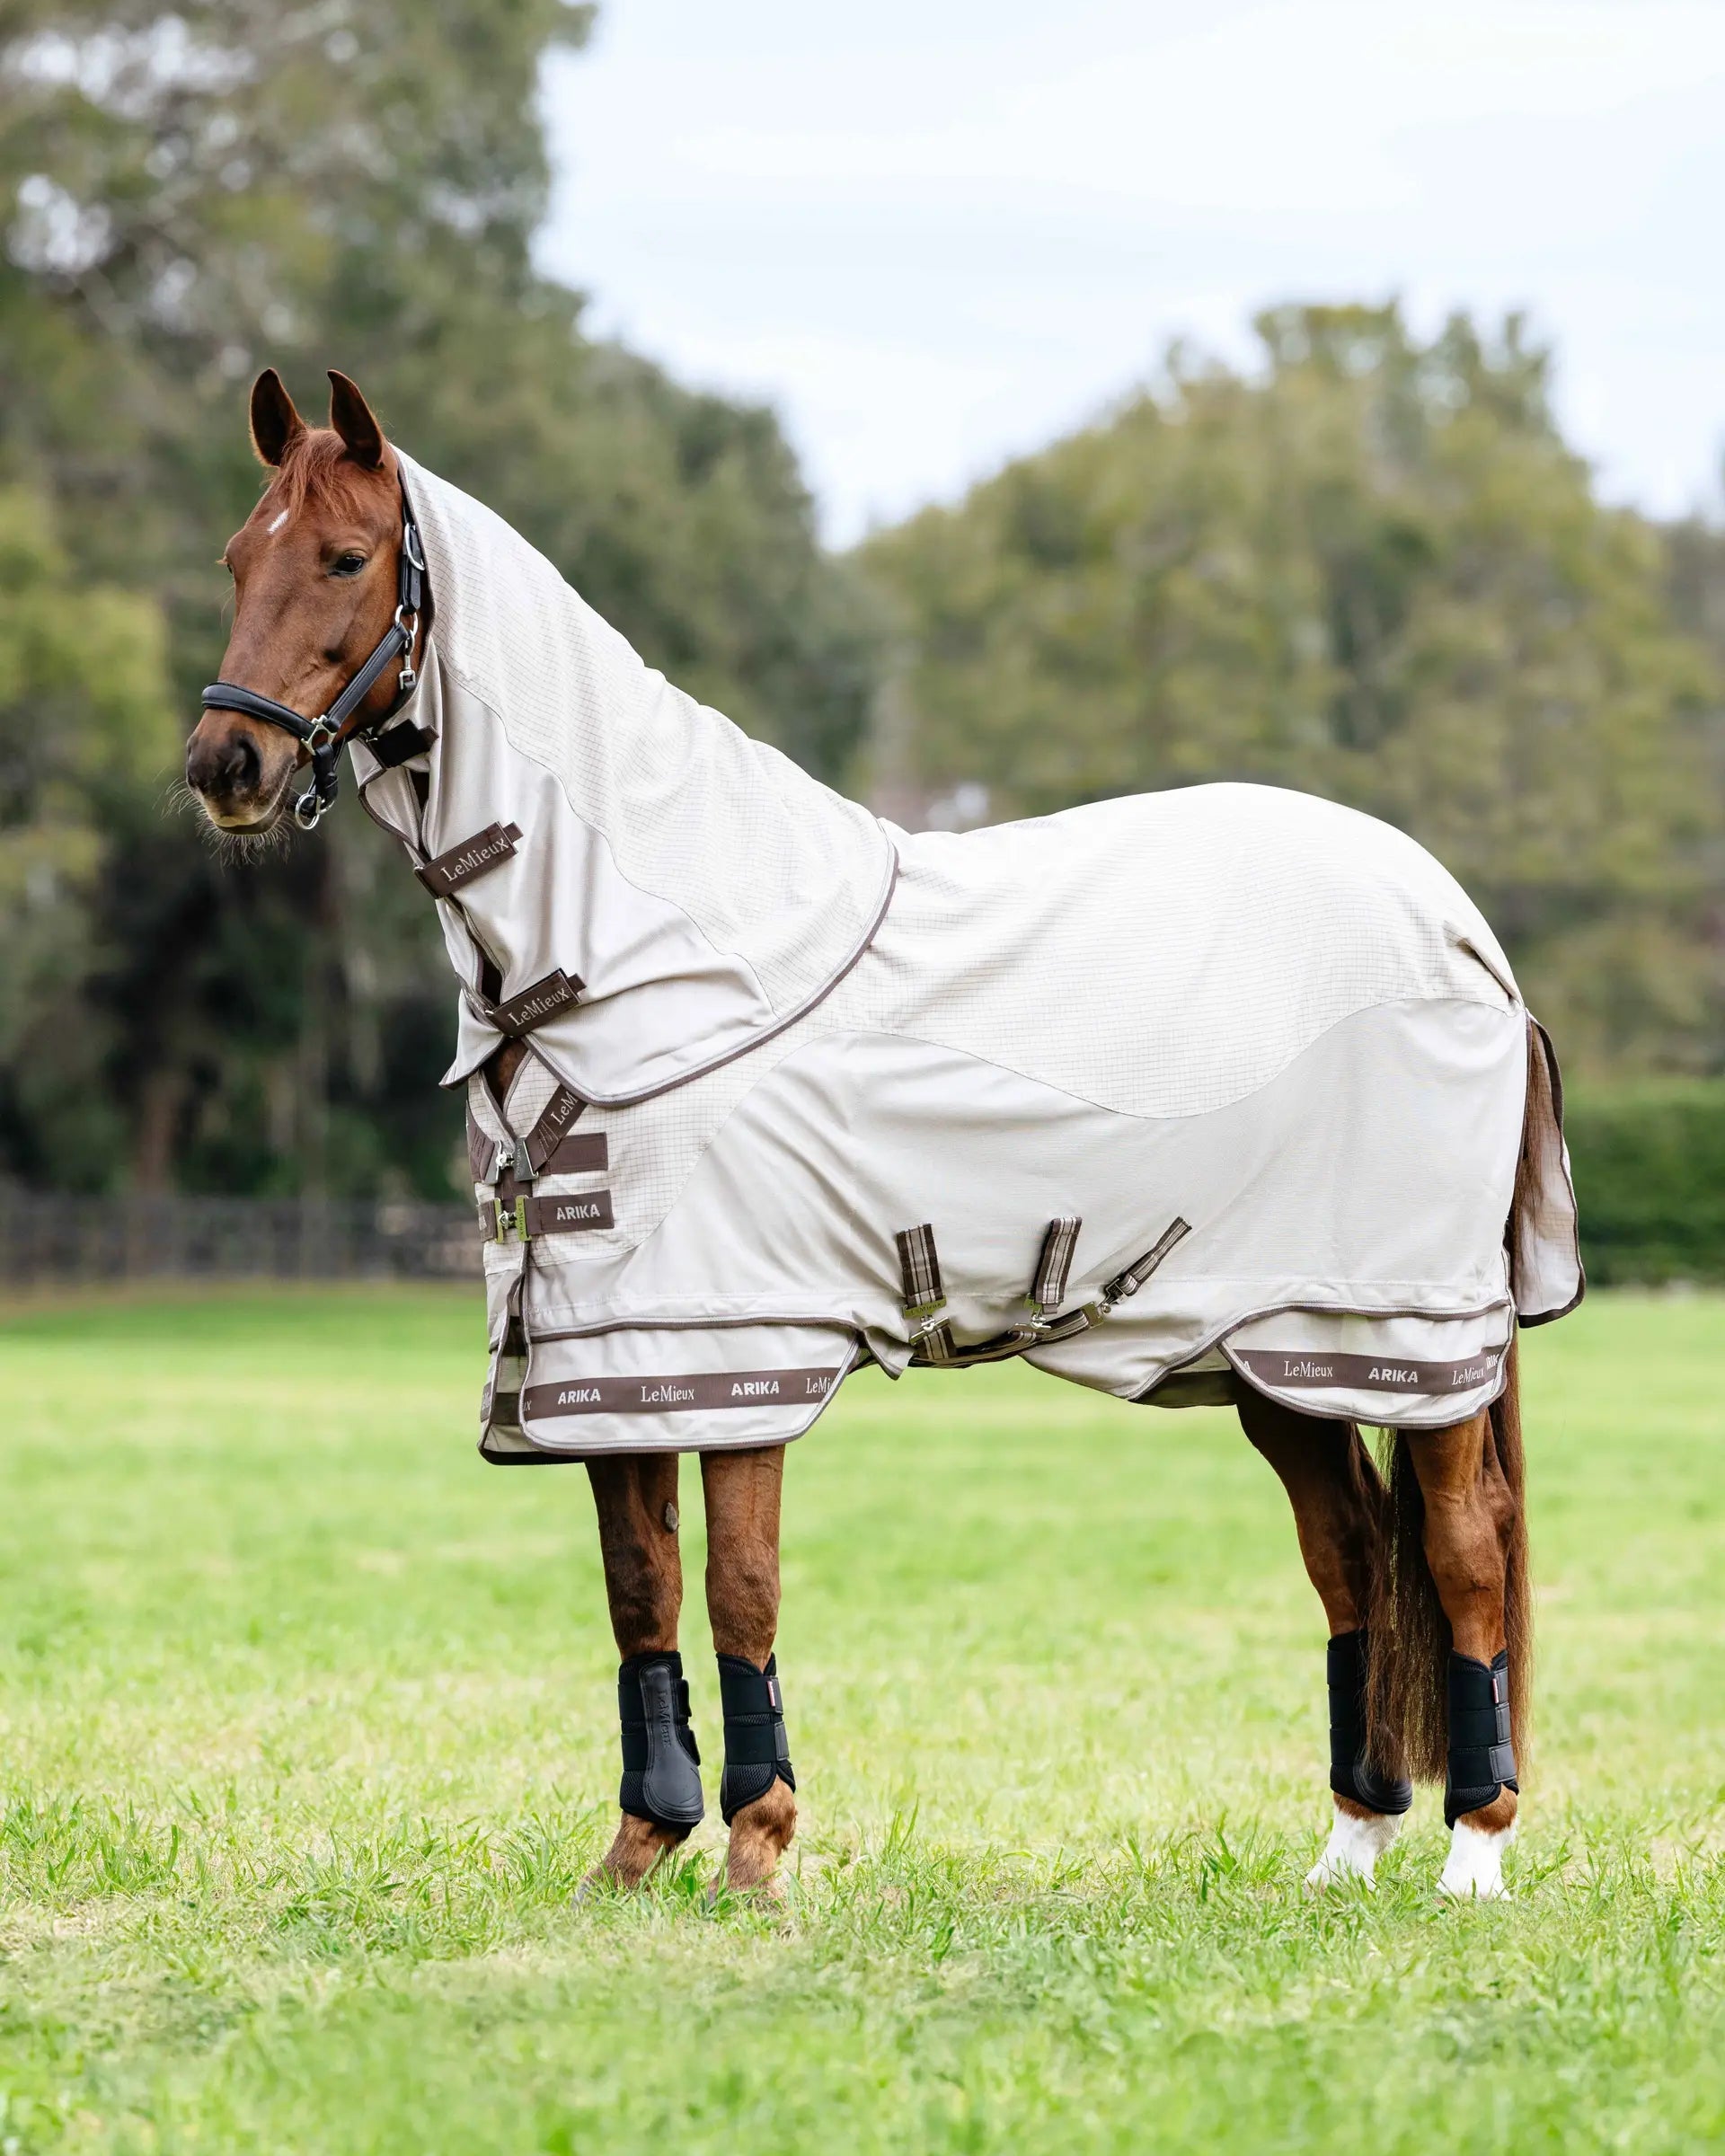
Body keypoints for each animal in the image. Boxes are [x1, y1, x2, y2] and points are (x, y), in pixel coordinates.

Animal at [184, 368, 1581, 1901]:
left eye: (346, 558)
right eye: (237, 559)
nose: (224, 764)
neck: (650, 950)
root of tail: (1461, 930)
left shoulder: (740, 1344)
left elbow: (739, 1586)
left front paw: (756, 1852)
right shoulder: (614, 1363)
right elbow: (639, 1592)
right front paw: (639, 1851)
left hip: (1411, 1339)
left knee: (1459, 1547)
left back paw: (1472, 1853)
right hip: (1281, 1354)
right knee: (1352, 1559)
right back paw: (1350, 1845)